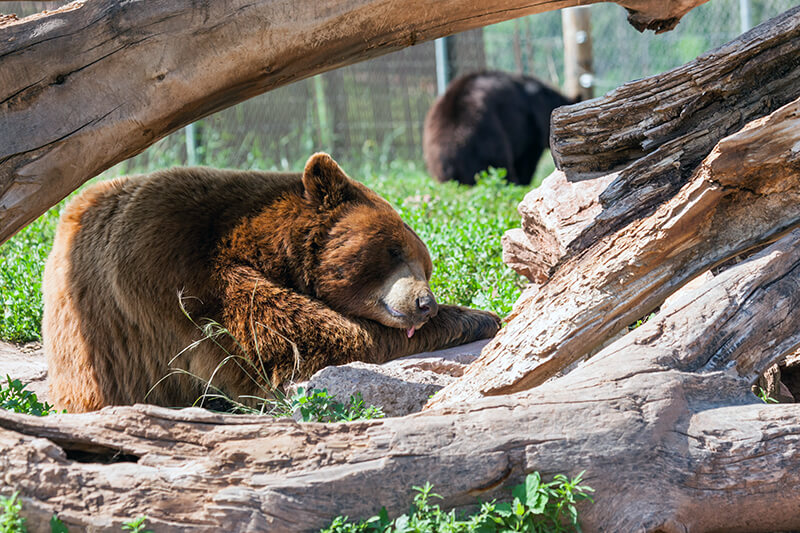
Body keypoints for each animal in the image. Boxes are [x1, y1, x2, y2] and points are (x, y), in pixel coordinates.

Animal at [42, 153, 500, 412]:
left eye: (427, 266)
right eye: (393, 251)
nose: (425, 304)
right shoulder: (185, 273)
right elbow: (300, 342)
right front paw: (479, 316)